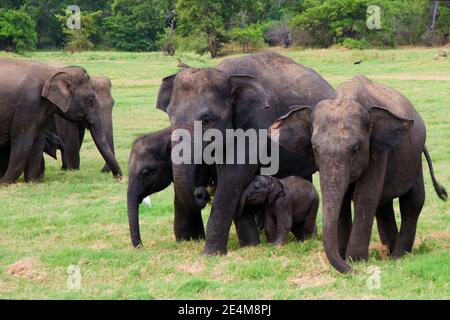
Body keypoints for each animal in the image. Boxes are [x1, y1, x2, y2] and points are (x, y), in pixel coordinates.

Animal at [272, 75, 448, 272]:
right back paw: (388, 252)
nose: (351, 271)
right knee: (383, 206)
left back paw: (398, 256)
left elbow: (365, 195)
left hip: (415, 160)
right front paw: (345, 258)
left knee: (413, 201)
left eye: (355, 150)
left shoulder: (378, 149)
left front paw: (355, 261)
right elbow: (345, 200)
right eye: (315, 149)